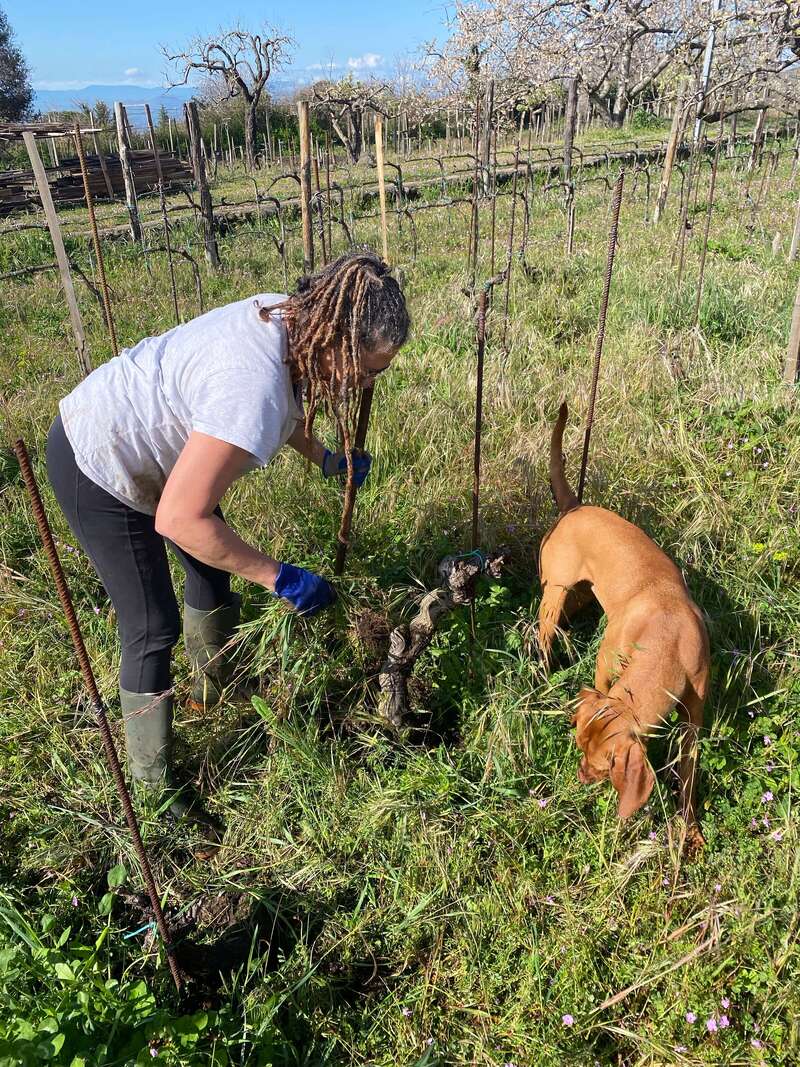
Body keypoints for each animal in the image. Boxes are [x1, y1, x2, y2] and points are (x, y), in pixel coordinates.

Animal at [538, 403, 709, 849]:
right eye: (579, 748)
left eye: (599, 765)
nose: (579, 777)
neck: (667, 639)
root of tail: (575, 506)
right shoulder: (603, 668)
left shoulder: (694, 718)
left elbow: (688, 776)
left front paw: (690, 832)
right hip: (554, 591)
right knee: (542, 636)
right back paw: (542, 676)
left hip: (580, 593)